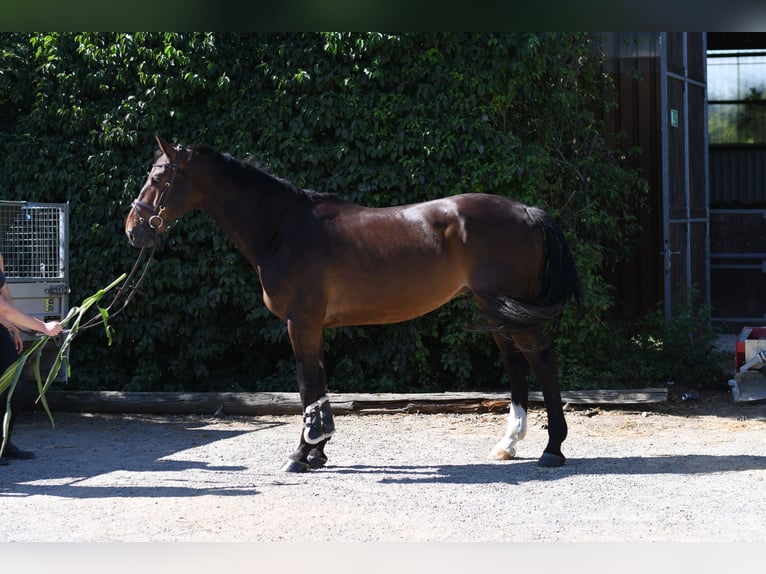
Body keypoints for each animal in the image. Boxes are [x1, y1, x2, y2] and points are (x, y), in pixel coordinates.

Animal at [125, 135, 582, 473]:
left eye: (157, 177)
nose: (133, 229)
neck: (283, 228)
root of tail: (528, 211)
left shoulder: (300, 322)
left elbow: (306, 384)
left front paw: (300, 455)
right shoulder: (313, 326)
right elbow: (319, 386)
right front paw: (318, 450)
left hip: (510, 310)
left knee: (543, 361)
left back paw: (552, 450)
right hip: (496, 310)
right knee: (517, 364)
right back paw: (509, 444)